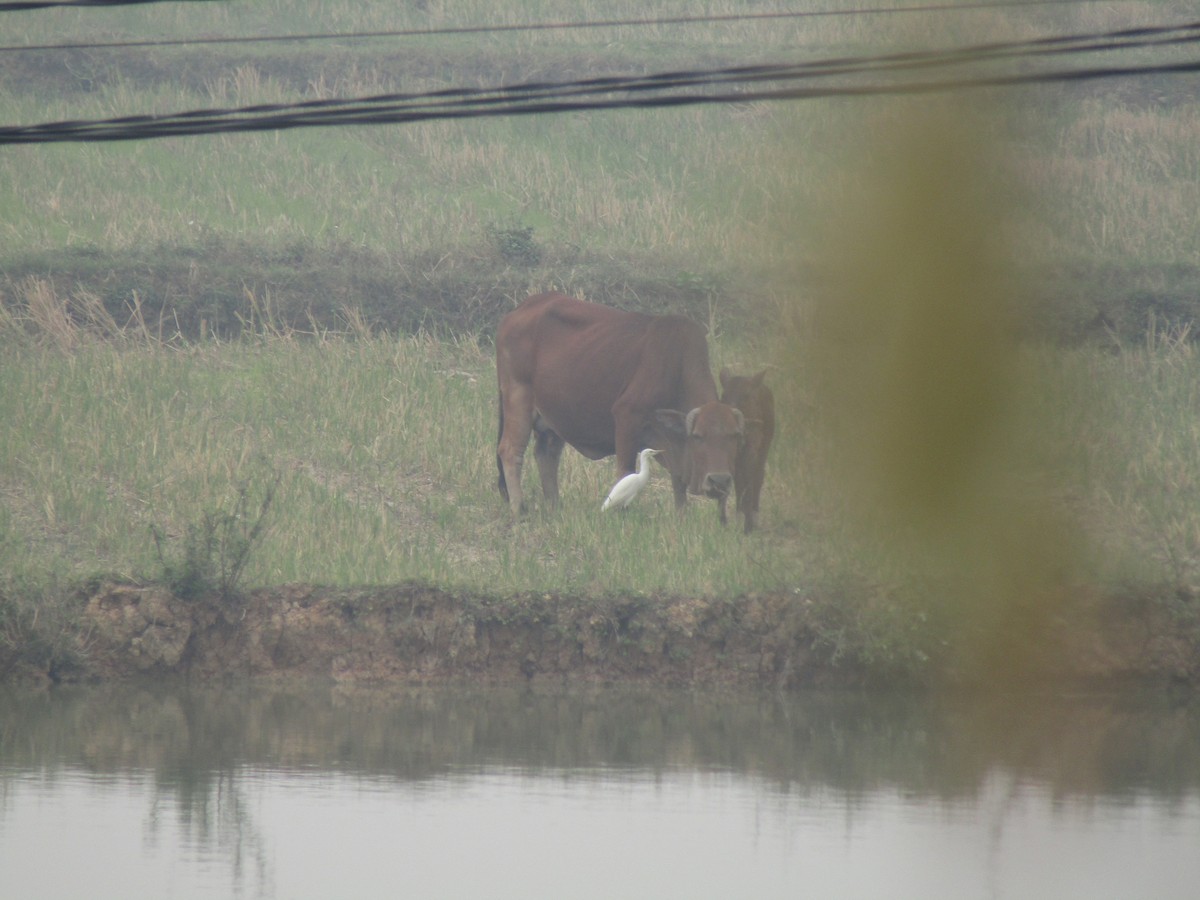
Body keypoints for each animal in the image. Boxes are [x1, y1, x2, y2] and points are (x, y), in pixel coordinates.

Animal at [495, 292, 744, 524]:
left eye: (734, 436)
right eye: (698, 436)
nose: (719, 481)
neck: (677, 367)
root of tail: (519, 309)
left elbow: (678, 484)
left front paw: (681, 517)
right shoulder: (627, 418)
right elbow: (624, 474)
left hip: (552, 416)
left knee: (547, 455)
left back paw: (555, 508)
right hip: (518, 399)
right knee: (510, 451)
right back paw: (519, 510)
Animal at [719, 368, 775, 534]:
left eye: (746, 395)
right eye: (723, 396)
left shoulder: (753, 448)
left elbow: (750, 479)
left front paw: (749, 524)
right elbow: (738, 480)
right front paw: (740, 518)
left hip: (766, 444)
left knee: (759, 475)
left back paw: (754, 514)